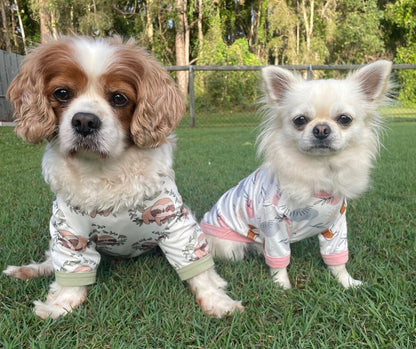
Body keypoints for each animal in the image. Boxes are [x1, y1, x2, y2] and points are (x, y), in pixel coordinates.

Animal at [2, 36, 244, 320]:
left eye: (118, 98)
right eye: (62, 93)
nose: (84, 121)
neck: (104, 169)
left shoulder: (176, 223)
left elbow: (199, 268)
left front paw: (218, 302)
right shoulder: (68, 231)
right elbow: (70, 271)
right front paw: (59, 305)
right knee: (51, 259)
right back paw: (27, 270)